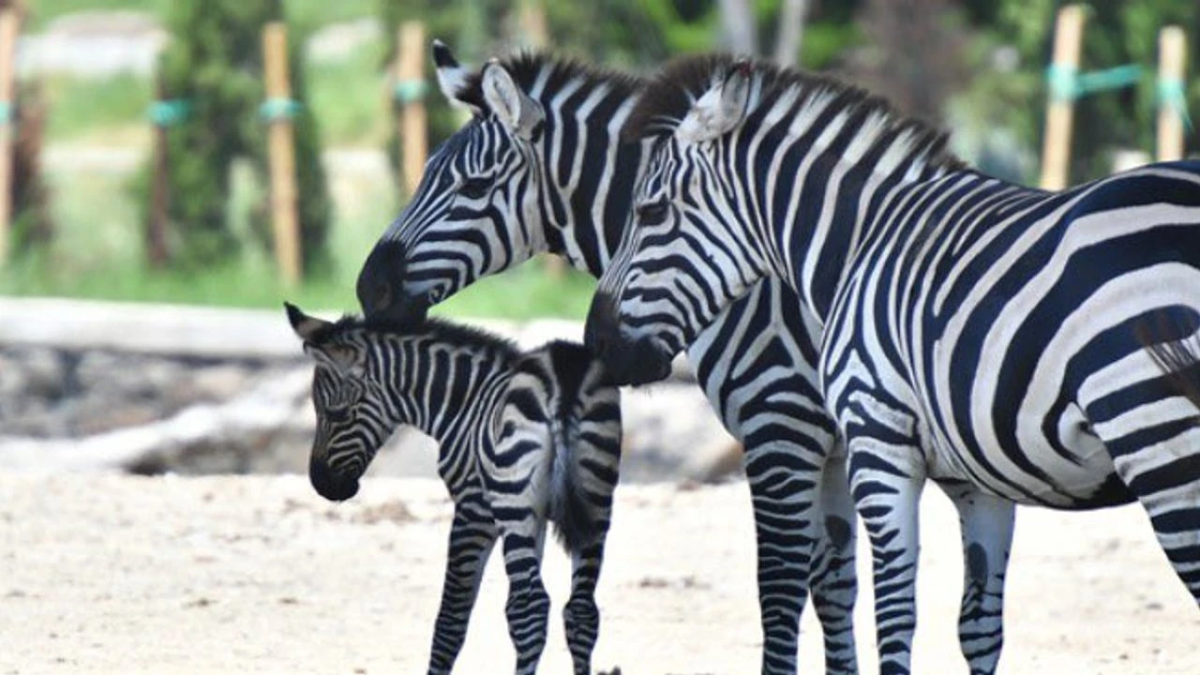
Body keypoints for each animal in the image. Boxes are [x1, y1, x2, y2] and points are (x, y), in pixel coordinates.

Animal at [283, 303, 619, 672]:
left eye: (336, 413)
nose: (322, 484)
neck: (464, 403)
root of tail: (564, 378)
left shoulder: (475, 510)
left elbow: (451, 619)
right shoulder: (538, 514)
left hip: (513, 503)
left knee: (529, 607)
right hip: (595, 501)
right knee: (581, 610)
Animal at [350, 42, 859, 672]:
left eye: (473, 187)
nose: (369, 289)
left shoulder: (783, 426)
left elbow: (784, 586)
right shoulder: (829, 445)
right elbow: (834, 586)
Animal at [585, 53, 1200, 672]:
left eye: (651, 210)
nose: (598, 344)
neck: (860, 243)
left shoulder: (876, 440)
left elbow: (894, 613)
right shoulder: (979, 480)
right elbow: (979, 624)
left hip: (1158, 439)